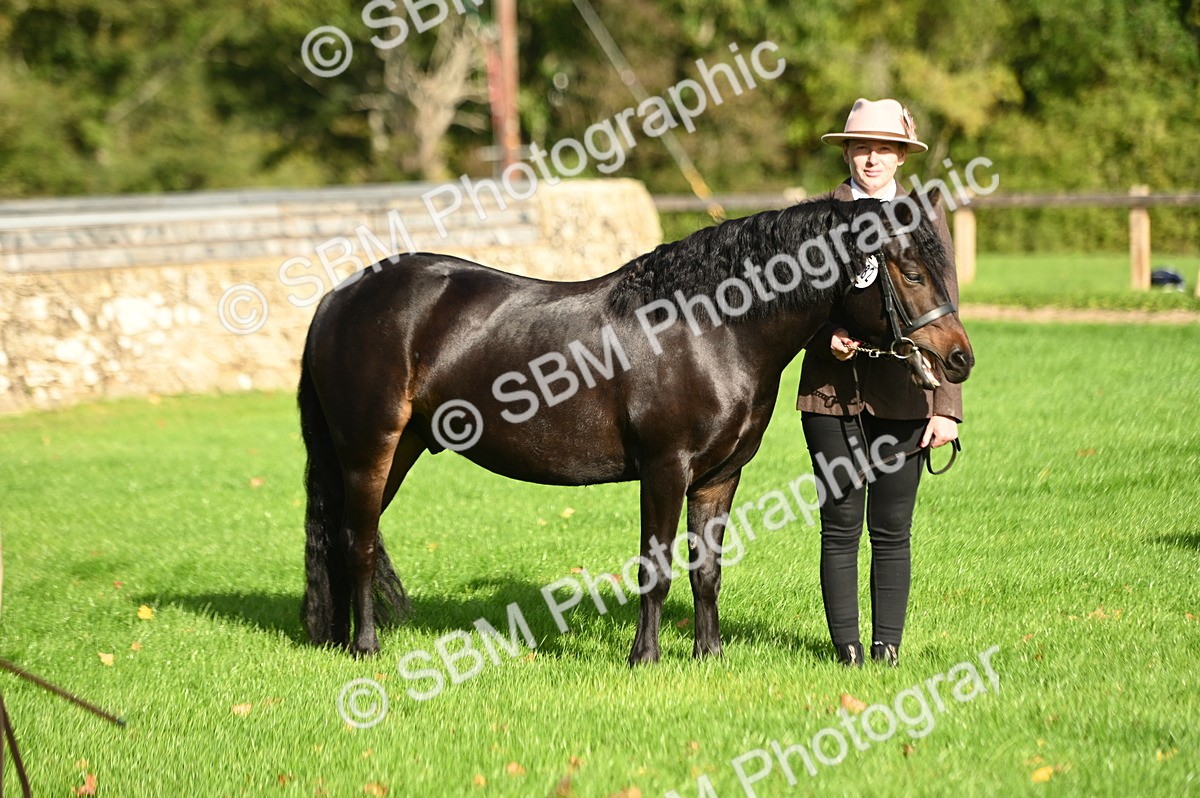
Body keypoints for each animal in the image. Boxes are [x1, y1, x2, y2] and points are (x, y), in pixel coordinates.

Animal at [297, 186, 973, 664]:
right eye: (912, 273)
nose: (960, 359)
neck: (710, 331)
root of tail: (337, 299)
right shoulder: (664, 469)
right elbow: (657, 566)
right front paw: (644, 657)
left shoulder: (719, 478)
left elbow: (706, 571)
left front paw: (708, 654)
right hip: (369, 449)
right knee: (358, 542)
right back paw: (365, 647)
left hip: (399, 449)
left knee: (350, 537)